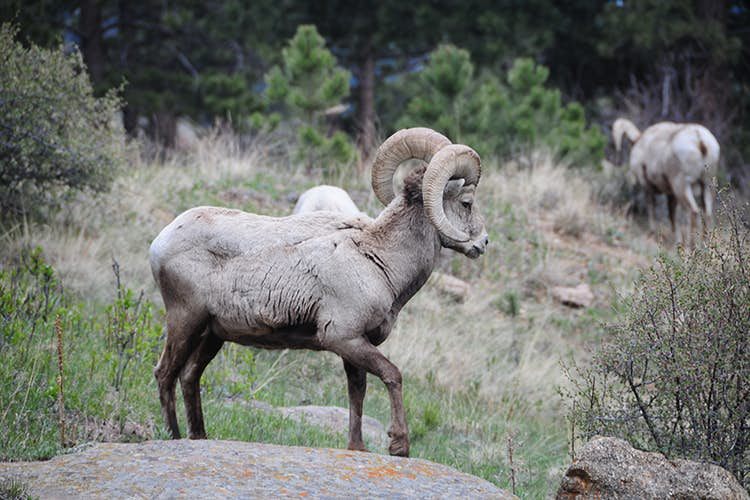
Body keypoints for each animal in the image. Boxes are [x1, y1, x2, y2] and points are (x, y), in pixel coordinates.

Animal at [150, 126, 490, 458]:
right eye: (466, 203)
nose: (483, 243)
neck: (378, 260)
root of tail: (160, 243)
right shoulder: (344, 338)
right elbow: (392, 375)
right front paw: (399, 446)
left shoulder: (355, 345)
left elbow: (358, 392)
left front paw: (357, 447)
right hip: (185, 321)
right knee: (165, 373)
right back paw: (174, 437)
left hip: (212, 334)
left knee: (189, 376)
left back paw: (199, 436)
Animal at [612, 115, 724, 244]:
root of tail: (700, 140)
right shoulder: (671, 194)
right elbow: (672, 215)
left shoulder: (648, 186)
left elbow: (652, 207)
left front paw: (653, 232)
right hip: (706, 185)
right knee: (707, 213)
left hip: (681, 186)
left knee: (693, 211)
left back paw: (691, 245)